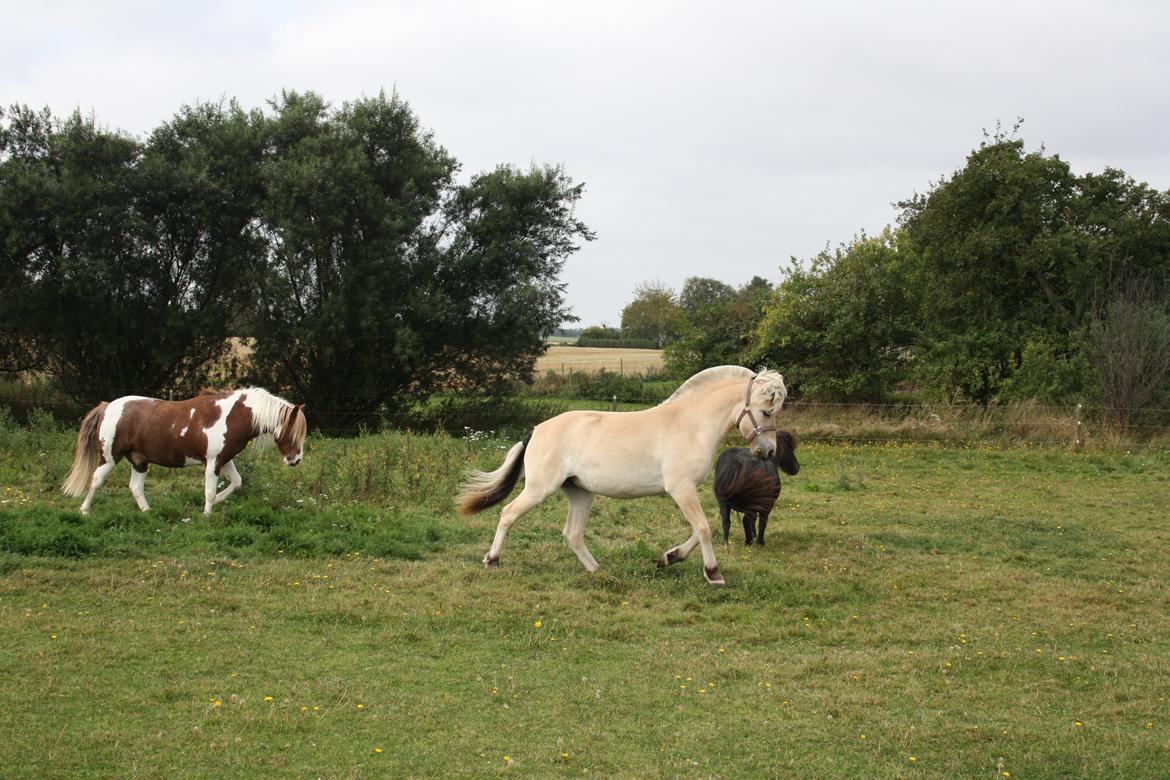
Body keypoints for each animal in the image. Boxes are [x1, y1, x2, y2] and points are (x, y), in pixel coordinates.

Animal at [62, 385, 306, 519]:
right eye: (292, 432)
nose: (295, 460)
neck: (233, 416)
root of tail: (107, 406)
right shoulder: (213, 462)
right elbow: (210, 491)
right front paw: (207, 515)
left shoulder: (224, 460)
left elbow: (237, 482)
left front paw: (217, 502)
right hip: (110, 458)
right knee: (96, 480)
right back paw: (84, 510)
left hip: (139, 461)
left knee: (135, 487)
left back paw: (148, 512)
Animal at [456, 367, 786, 584]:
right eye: (766, 411)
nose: (769, 451)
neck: (689, 425)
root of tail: (537, 429)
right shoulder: (681, 489)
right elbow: (704, 529)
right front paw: (713, 573)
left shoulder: (686, 491)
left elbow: (705, 528)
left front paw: (669, 558)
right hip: (540, 489)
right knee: (508, 514)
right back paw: (492, 561)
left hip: (580, 492)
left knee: (572, 533)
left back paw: (597, 570)